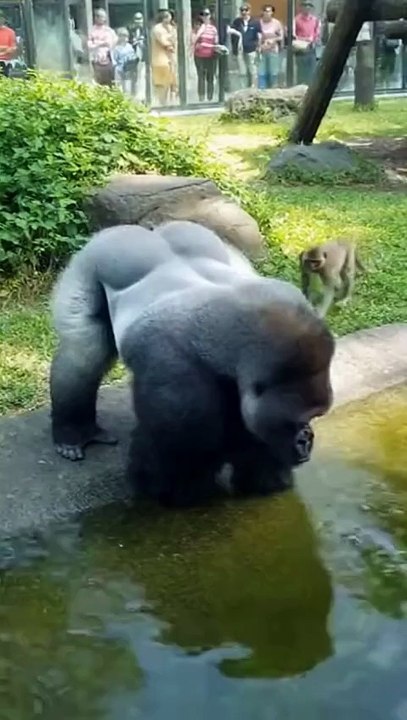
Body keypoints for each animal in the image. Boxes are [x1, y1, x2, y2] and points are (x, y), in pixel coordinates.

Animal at [50, 222, 334, 507]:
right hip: (94, 258)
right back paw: (75, 430)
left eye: (316, 416)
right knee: (83, 353)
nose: (307, 439)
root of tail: (149, 230)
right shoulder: (177, 378)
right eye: (301, 419)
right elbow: (179, 461)